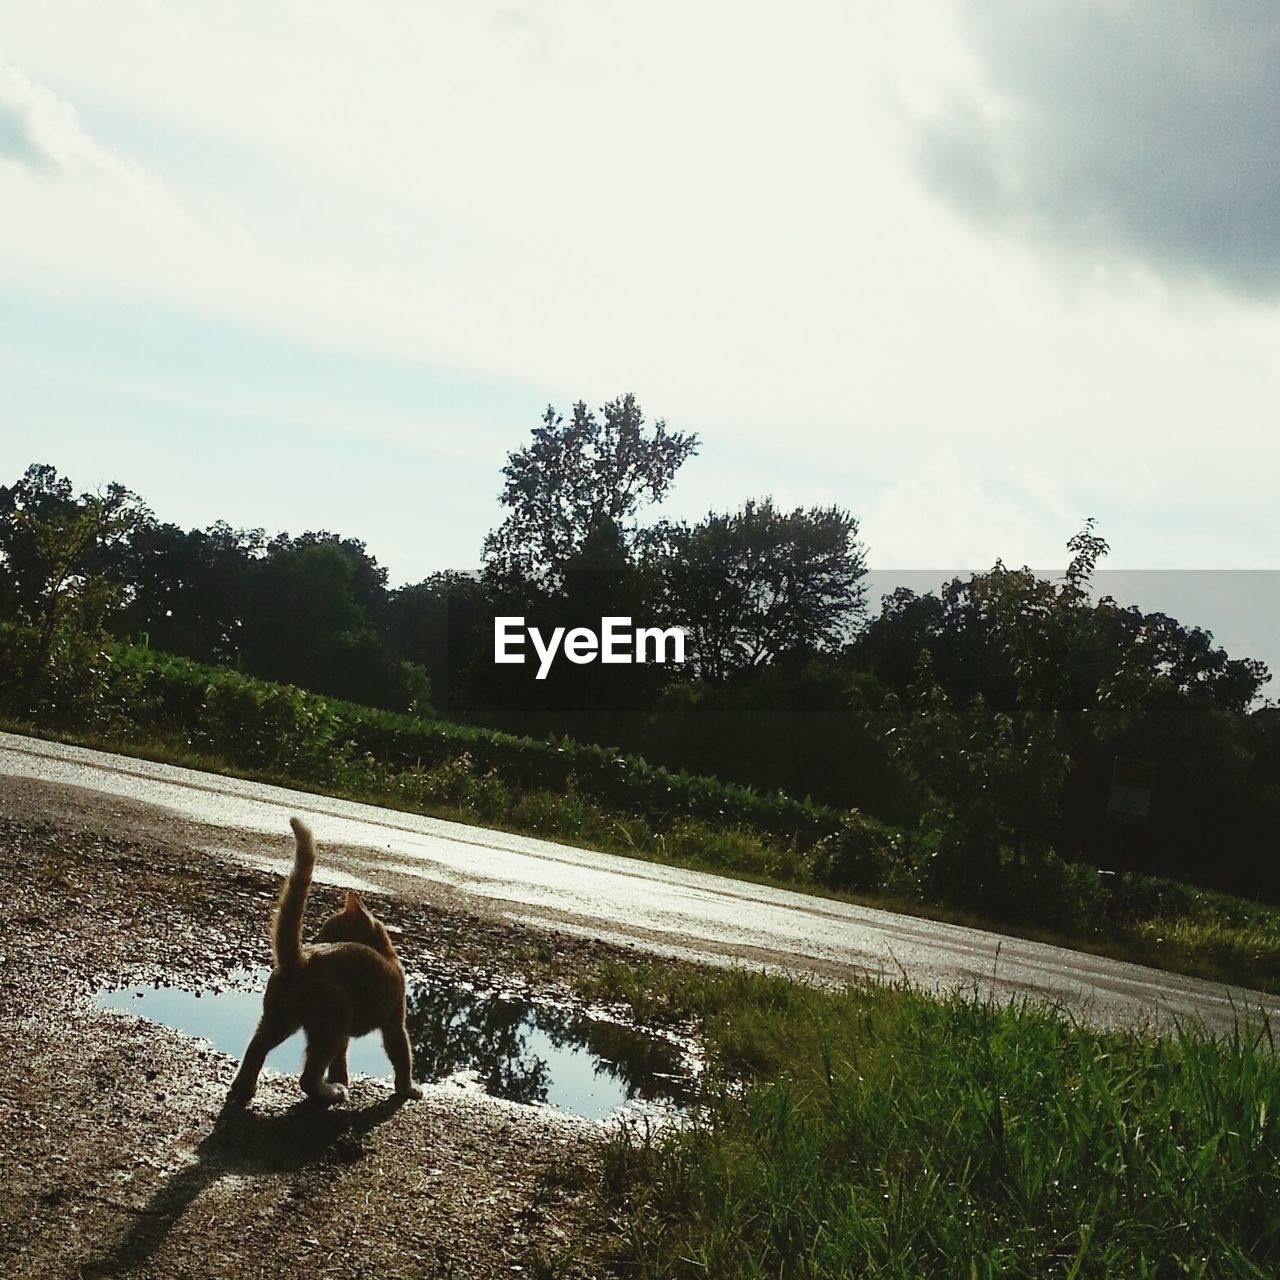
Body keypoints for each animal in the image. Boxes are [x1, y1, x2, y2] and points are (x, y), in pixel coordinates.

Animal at [226, 819, 424, 1111]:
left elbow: (341, 1059)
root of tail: (299, 957)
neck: (386, 953)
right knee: (307, 1078)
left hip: (281, 1020)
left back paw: (244, 1089)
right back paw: (332, 1093)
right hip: (331, 1022)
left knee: (256, 1049)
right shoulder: (394, 1021)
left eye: (326, 929)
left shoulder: (346, 1035)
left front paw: (341, 1076)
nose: (315, 939)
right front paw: (407, 1089)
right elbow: (402, 1057)